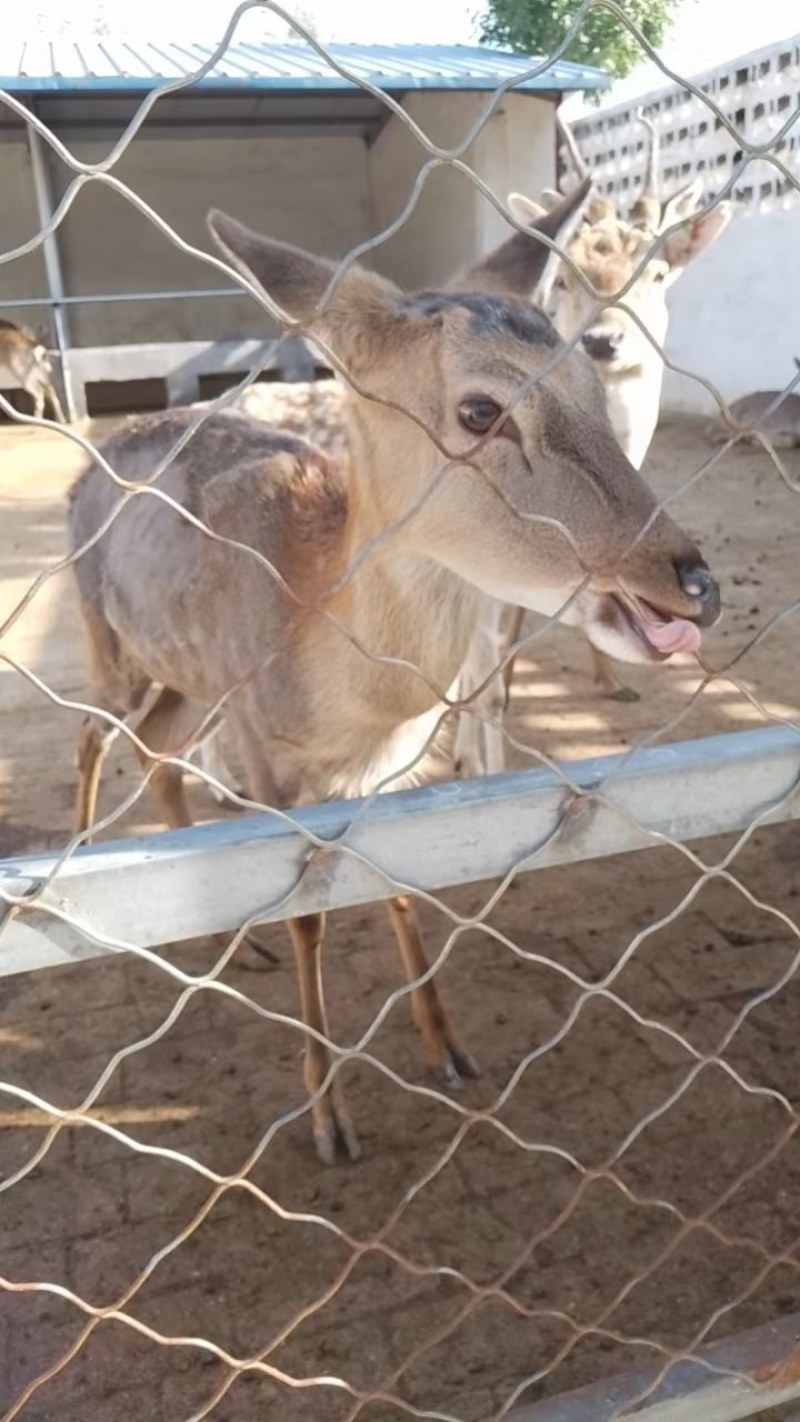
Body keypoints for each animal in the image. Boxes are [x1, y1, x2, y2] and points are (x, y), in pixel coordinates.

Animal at [67, 188, 721, 1163]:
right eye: (481, 411)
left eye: (593, 384)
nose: (694, 583)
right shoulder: (265, 747)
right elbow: (307, 911)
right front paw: (329, 1120)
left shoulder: (393, 768)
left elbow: (401, 882)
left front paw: (447, 1048)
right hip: (104, 635)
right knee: (92, 730)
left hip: (187, 675)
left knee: (153, 746)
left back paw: (236, 945)